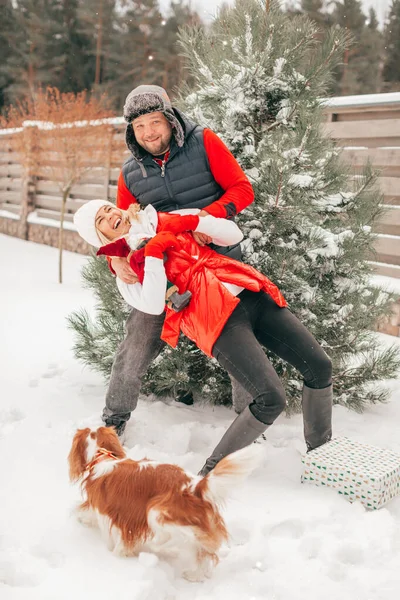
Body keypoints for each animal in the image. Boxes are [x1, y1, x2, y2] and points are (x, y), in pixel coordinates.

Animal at [69, 424, 262, 580]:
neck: (102, 457)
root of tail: (196, 487)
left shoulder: (111, 516)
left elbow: (113, 538)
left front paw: (117, 555)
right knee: (203, 553)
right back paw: (193, 575)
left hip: (156, 512)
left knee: (179, 539)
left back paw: (162, 547)